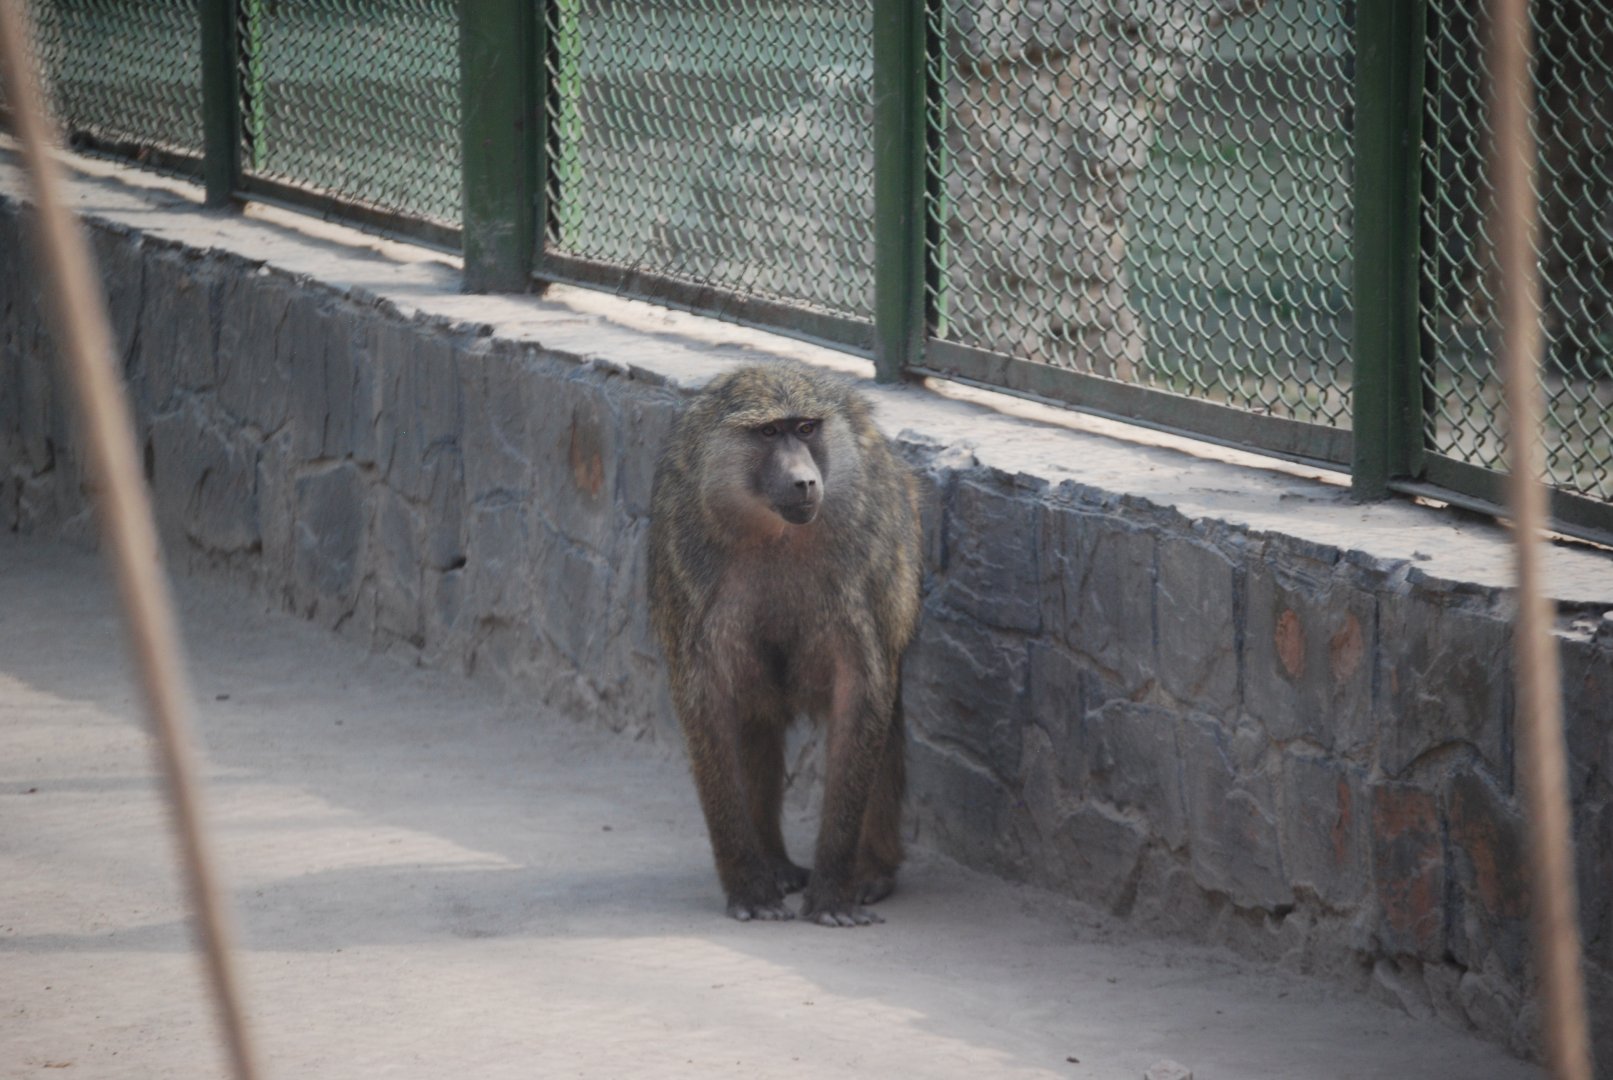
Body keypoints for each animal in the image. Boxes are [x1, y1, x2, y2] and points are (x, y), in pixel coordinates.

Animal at [647, 362, 922, 927]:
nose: (804, 480)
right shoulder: (687, 555)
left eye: (807, 429)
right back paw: (772, 864)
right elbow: (709, 702)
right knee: (755, 720)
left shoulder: (869, 555)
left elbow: (861, 696)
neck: (775, 534)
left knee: (883, 728)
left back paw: (872, 872)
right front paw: (749, 887)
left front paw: (834, 892)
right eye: (770, 432)